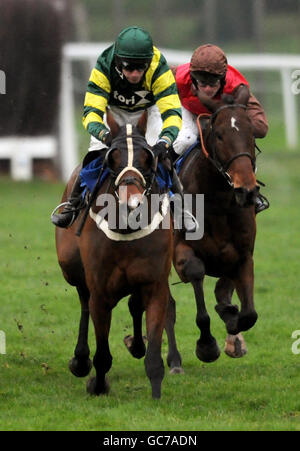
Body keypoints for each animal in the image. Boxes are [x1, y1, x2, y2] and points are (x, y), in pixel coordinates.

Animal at [54, 115, 182, 400]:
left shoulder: (154, 284)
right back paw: (80, 360)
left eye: (148, 158)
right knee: (84, 301)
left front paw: (156, 393)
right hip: (71, 266)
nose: (131, 202)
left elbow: (153, 348)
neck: (127, 228)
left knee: (134, 304)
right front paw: (98, 385)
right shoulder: (100, 291)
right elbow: (102, 353)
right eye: (112, 158)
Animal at [173, 86, 260, 364]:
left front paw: (231, 318)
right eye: (219, 135)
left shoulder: (243, 256)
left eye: (251, 132)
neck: (219, 202)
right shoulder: (180, 251)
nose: (247, 190)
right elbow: (196, 273)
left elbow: (248, 314)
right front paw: (207, 345)